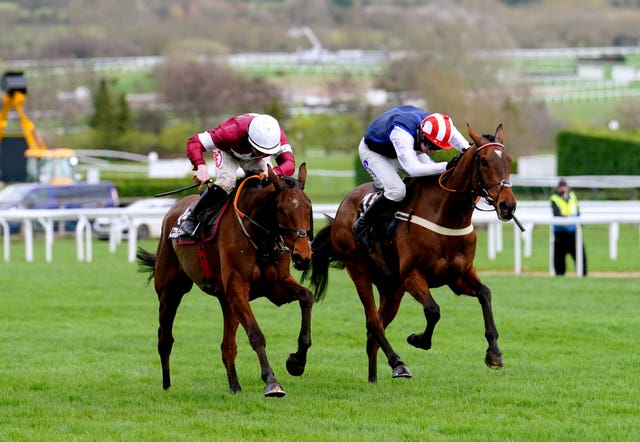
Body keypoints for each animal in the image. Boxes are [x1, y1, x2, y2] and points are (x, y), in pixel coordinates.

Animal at [136, 163, 316, 398]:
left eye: (308, 207)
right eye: (280, 209)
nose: (303, 256)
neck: (260, 238)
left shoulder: (276, 285)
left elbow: (307, 297)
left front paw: (297, 361)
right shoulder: (237, 289)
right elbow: (256, 334)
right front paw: (272, 382)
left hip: (226, 302)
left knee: (227, 346)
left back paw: (235, 386)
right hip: (170, 291)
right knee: (165, 338)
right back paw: (167, 385)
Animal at [302, 124, 516, 384]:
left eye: (508, 160)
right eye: (484, 161)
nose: (508, 206)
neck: (446, 214)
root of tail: (342, 207)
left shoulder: (458, 276)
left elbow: (485, 294)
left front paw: (494, 353)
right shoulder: (412, 275)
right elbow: (433, 310)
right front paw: (418, 339)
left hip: (391, 287)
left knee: (374, 330)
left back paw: (373, 378)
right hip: (359, 270)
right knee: (373, 322)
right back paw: (398, 364)